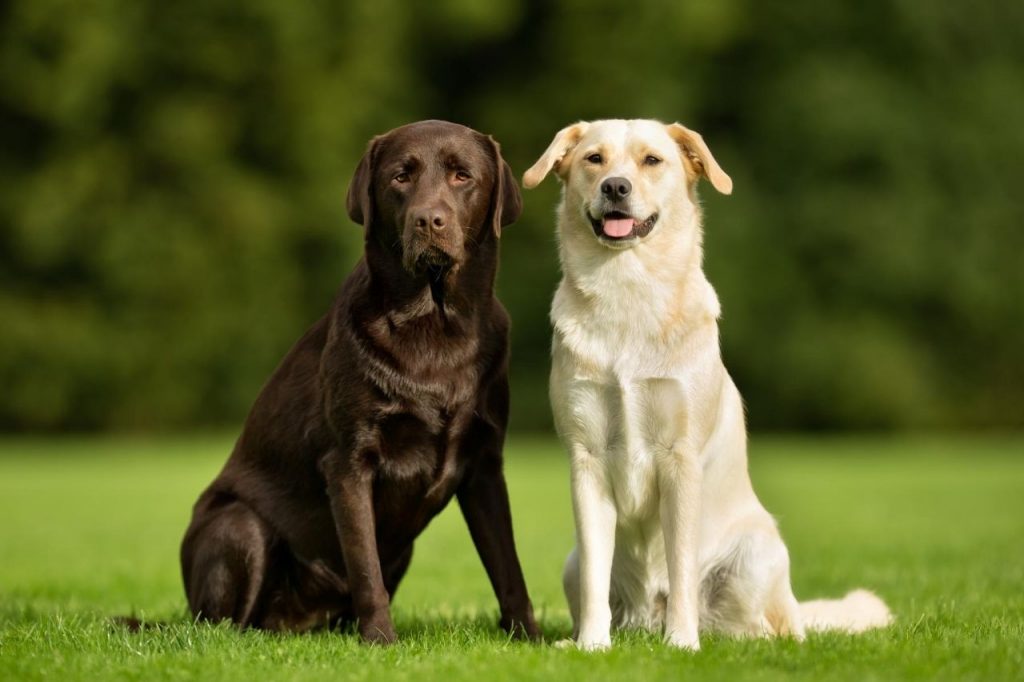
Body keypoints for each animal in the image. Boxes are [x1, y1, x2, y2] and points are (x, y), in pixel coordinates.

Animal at [180, 120, 540, 643]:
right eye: (400, 177)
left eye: (462, 175)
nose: (428, 221)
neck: (436, 325)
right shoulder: (348, 462)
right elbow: (364, 565)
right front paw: (381, 642)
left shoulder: (485, 465)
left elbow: (508, 567)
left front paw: (533, 639)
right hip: (239, 525)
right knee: (223, 624)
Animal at [524, 120, 892, 647]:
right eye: (594, 159)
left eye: (652, 160)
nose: (615, 187)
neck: (627, 289)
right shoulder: (586, 460)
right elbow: (597, 575)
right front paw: (591, 646)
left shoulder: (680, 460)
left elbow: (681, 565)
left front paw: (682, 643)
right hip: (570, 563)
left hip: (758, 556)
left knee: (768, 629)